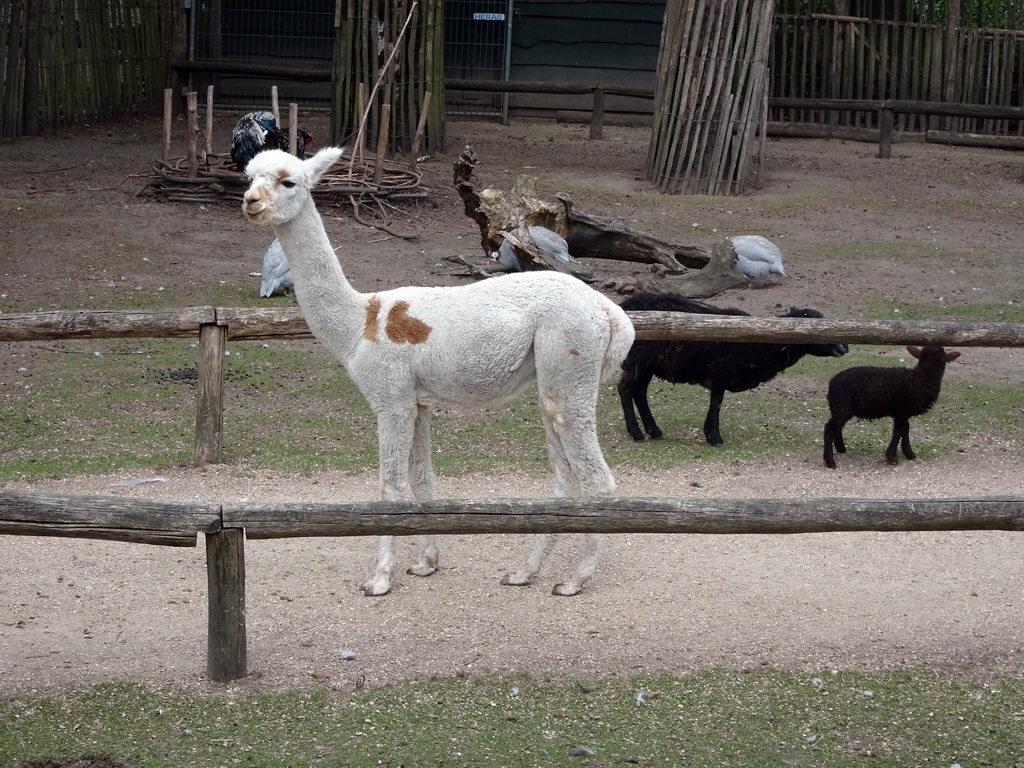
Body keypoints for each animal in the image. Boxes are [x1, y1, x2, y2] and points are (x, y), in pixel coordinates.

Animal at [614, 294, 847, 450]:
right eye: (815, 327)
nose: (844, 346)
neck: (762, 343)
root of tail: (624, 306)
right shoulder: (720, 373)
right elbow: (716, 405)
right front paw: (714, 438)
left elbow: (715, 405)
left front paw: (711, 435)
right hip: (638, 360)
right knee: (626, 390)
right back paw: (637, 433)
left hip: (647, 364)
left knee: (639, 393)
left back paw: (654, 431)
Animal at [823, 344, 958, 468]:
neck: (922, 378)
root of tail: (832, 383)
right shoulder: (902, 412)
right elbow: (898, 432)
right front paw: (892, 457)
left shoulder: (904, 412)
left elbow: (906, 429)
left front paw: (909, 453)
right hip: (842, 408)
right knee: (829, 428)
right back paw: (830, 461)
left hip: (839, 409)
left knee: (837, 428)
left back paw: (841, 449)